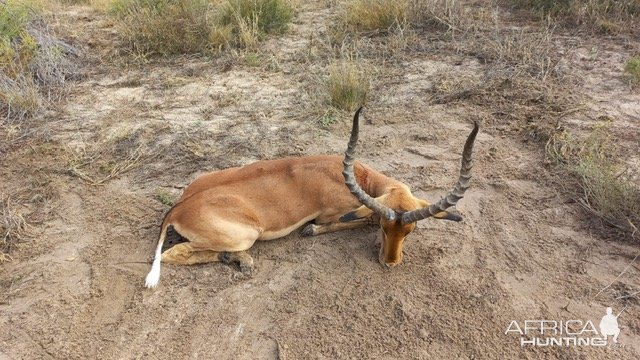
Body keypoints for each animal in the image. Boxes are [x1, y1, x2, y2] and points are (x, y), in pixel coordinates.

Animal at [144, 108, 476, 288]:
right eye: (385, 226)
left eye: (411, 229)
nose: (390, 263)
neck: (356, 176)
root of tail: (179, 208)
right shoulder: (337, 213)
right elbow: (358, 220)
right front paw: (310, 230)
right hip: (247, 235)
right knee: (173, 254)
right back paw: (243, 261)